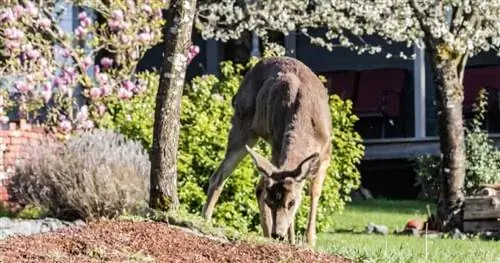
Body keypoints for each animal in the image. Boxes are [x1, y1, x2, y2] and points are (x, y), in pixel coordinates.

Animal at [199, 55, 332, 248]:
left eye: (292, 202)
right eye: (270, 202)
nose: (278, 234)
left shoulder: (326, 154)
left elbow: (314, 193)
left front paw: (308, 241)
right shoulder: (277, 144)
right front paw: (293, 239)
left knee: (252, 183)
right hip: (244, 125)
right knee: (233, 178)